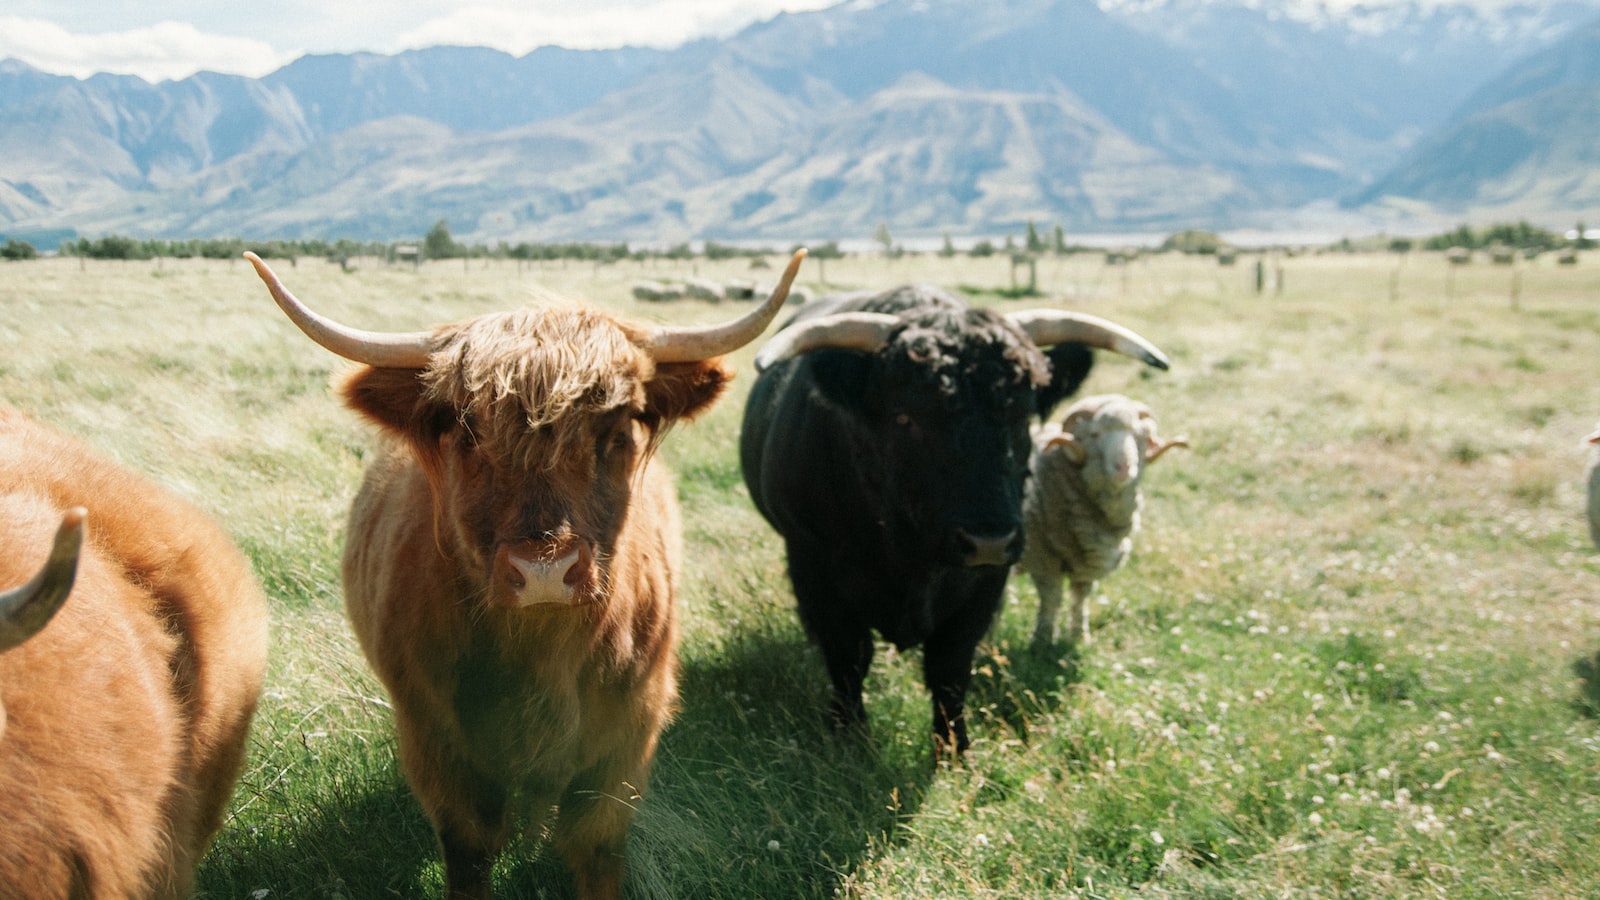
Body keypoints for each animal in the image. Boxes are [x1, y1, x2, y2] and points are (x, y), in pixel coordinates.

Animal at [241, 246, 800, 896]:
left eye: (617, 431)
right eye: (465, 431)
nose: (544, 569)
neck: (542, 654)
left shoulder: (628, 732)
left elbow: (595, 845)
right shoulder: (437, 740)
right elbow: (470, 846)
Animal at [732, 283, 1164, 752]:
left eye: (1022, 415)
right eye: (904, 417)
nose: (987, 540)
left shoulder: (988, 582)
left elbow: (950, 667)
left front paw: (954, 749)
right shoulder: (813, 564)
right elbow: (848, 656)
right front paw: (848, 736)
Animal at [1017, 392, 1184, 643]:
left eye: (1139, 436)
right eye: (1095, 434)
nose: (1123, 467)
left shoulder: (1085, 563)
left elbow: (1080, 598)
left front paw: (1079, 635)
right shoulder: (1042, 556)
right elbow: (1051, 598)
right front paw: (1043, 638)